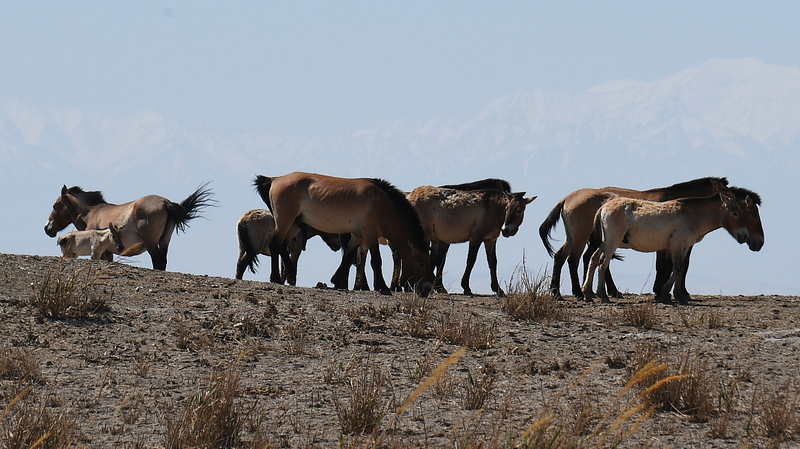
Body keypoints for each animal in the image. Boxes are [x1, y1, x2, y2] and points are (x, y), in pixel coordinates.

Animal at [45, 184, 214, 270]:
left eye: (55, 205)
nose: (47, 228)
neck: (91, 212)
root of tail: (165, 202)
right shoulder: (108, 252)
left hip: (152, 243)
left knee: (158, 263)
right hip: (164, 241)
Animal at [253, 172, 434, 296]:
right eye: (421, 264)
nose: (427, 289)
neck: (383, 203)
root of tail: (275, 179)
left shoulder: (358, 235)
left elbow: (348, 256)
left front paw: (337, 280)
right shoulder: (370, 233)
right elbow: (376, 260)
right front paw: (382, 286)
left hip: (294, 224)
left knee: (283, 246)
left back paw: (290, 274)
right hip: (285, 221)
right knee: (276, 245)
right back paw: (276, 278)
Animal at [403, 181, 536, 296]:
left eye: (519, 210)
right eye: (507, 208)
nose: (506, 230)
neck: (491, 208)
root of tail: (410, 196)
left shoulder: (490, 240)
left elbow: (493, 262)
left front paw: (497, 289)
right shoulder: (476, 237)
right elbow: (471, 260)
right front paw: (466, 287)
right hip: (425, 234)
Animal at [539, 177, 730, 300]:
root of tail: (567, 198)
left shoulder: (683, 245)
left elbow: (683, 266)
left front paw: (679, 292)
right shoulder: (667, 246)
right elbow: (665, 266)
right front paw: (662, 291)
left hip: (577, 238)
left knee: (564, 257)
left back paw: (561, 292)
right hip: (582, 237)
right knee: (575, 259)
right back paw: (580, 292)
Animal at [582, 181, 749, 304]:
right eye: (735, 213)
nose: (744, 236)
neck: (690, 214)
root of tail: (603, 207)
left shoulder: (684, 246)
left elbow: (680, 269)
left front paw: (674, 294)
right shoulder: (676, 245)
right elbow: (677, 268)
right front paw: (669, 294)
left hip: (604, 242)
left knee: (594, 260)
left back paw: (588, 293)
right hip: (612, 242)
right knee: (603, 263)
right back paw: (603, 295)